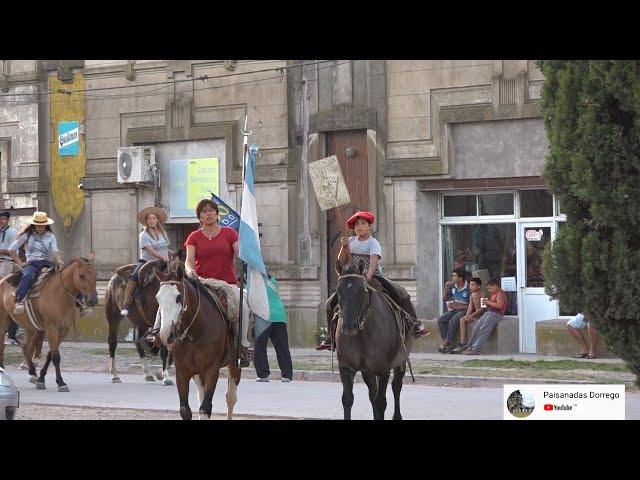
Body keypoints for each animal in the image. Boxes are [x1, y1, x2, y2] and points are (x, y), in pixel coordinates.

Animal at [102, 253, 182, 384]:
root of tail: (113, 278)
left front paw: (161, 373)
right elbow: (165, 346)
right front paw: (165, 376)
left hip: (140, 322)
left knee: (138, 341)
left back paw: (147, 373)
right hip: (113, 315)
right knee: (112, 342)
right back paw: (115, 375)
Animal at [155, 266, 242, 420]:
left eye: (178, 297)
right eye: (158, 298)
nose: (165, 334)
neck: (195, 333)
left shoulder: (212, 370)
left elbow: (205, 408)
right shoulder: (182, 371)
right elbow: (185, 410)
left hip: (234, 365)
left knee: (231, 398)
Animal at [336, 262, 416, 420]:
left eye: (363, 291)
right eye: (339, 291)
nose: (349, 326)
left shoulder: (383, 369)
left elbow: (381, 402)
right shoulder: (346, 368)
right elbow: (347, 399)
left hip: (400, 360)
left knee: (396, 386)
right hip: (368, 370)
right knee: (373, 392)